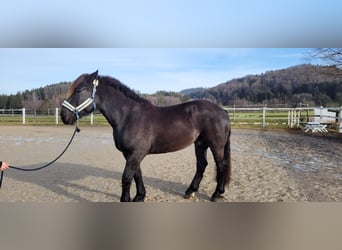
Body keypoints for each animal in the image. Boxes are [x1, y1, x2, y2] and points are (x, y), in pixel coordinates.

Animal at [61, 70, 232, 201]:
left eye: (79, 90)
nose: (63, 115)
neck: (128, 116)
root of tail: (222, 111)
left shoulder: (136, 153)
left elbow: (126, 177)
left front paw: (126, 199)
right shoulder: (130, 154)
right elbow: (137, 175)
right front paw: (139, 196)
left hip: (216, 145)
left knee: (221, 165)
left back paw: (216, 194)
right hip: (200, 143)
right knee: (202, 165)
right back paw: (190, 191)